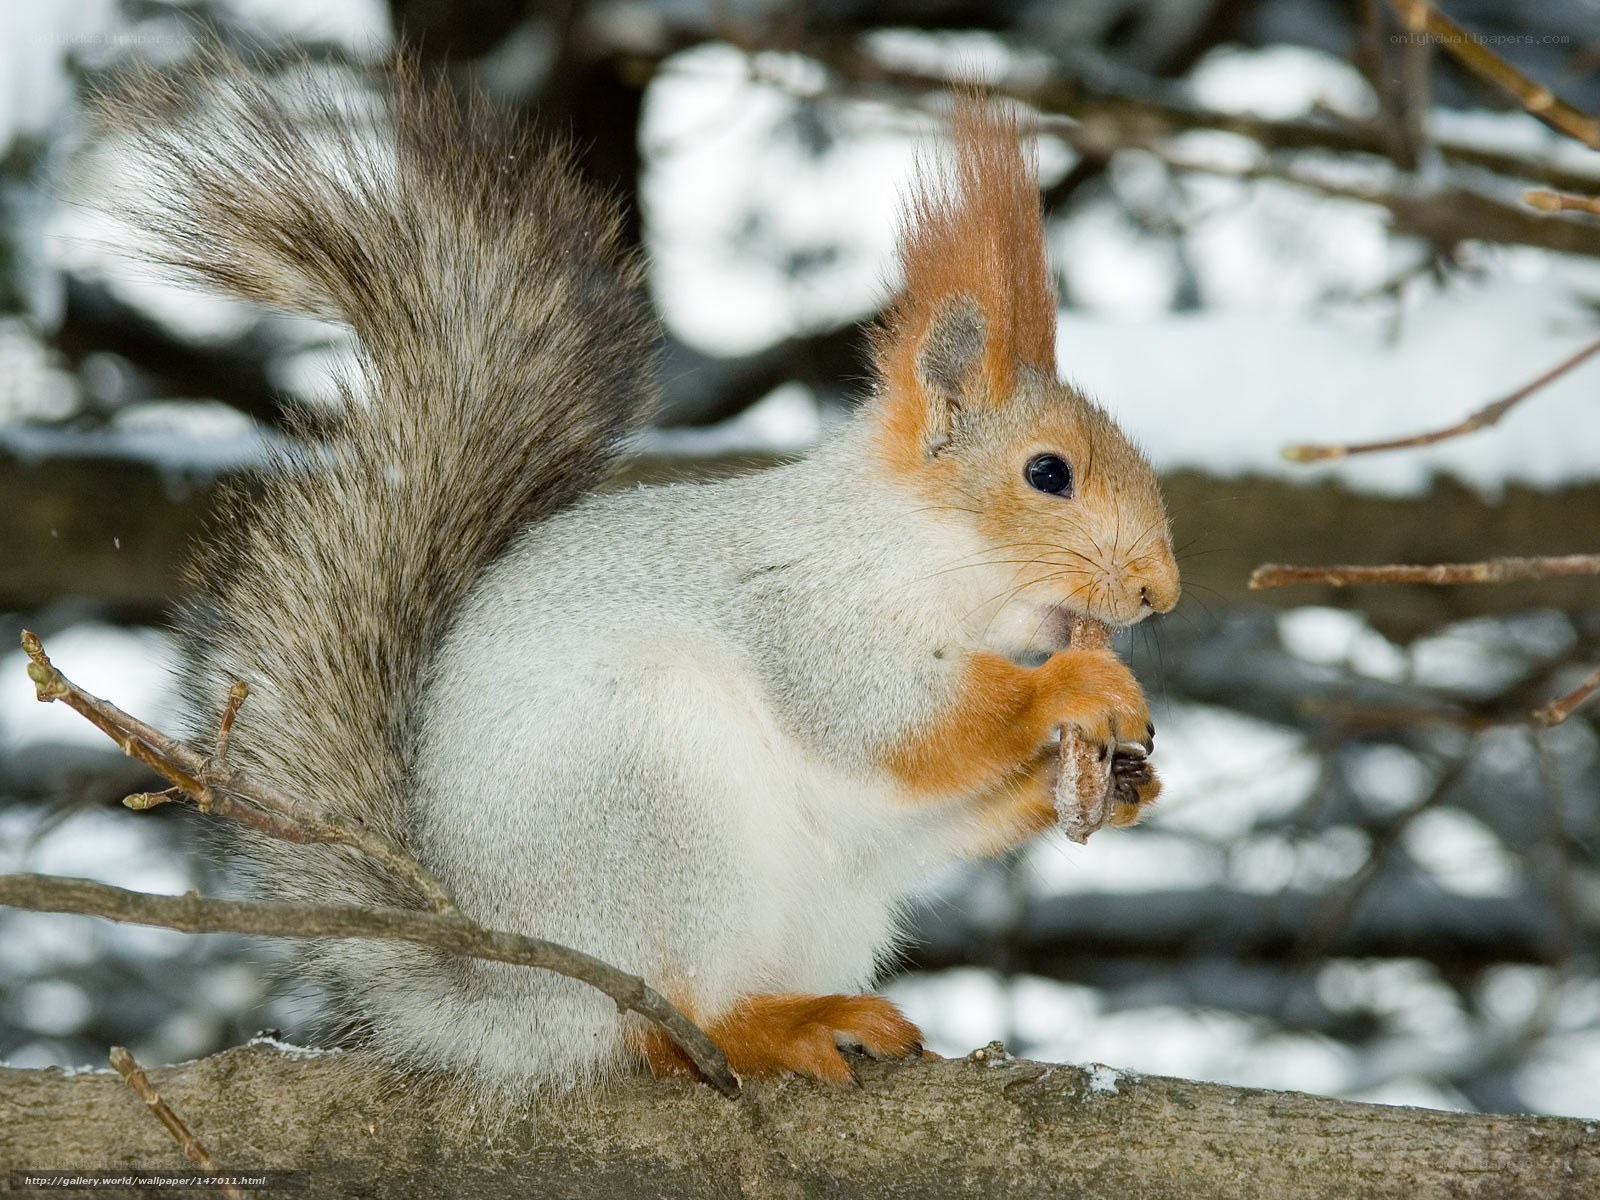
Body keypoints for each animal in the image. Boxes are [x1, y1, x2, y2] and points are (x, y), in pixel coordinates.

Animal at [99, 55, 1179, 1094]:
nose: (1158, 592)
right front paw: (1076, 687)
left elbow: (924, 813)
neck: (915, 547)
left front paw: (1114, 781)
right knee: (662, 1025)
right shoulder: (805, 615)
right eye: (1048, 473)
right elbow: (893, 721)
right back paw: (767, 1029)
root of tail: (507, 1002)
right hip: (652, 798)